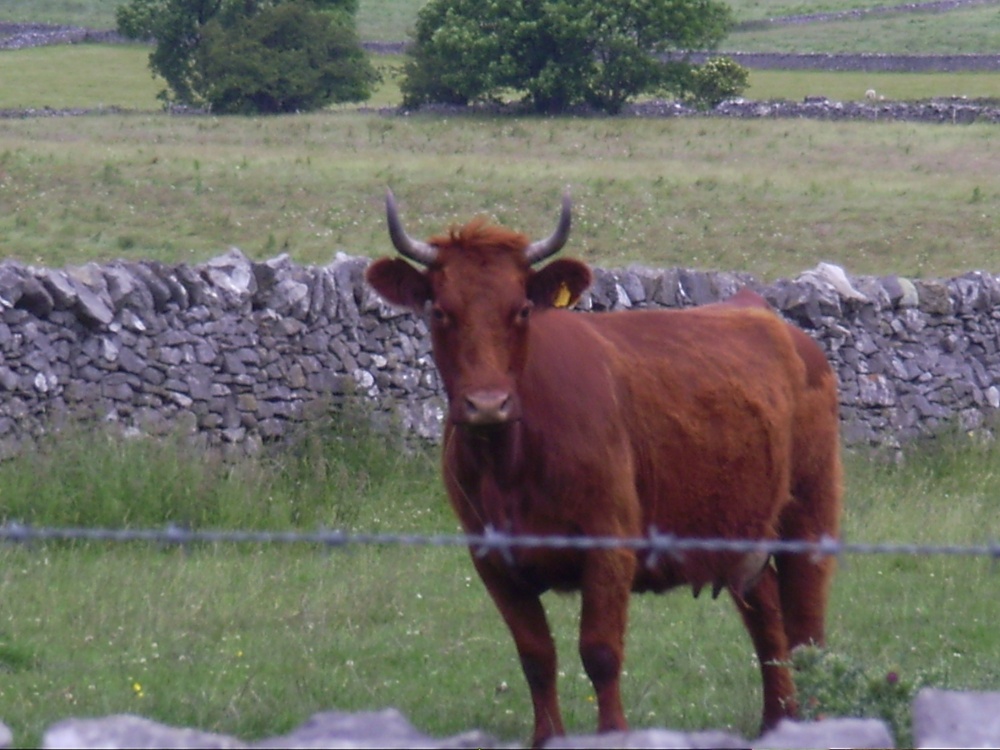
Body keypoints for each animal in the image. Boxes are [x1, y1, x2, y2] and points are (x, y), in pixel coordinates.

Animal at [365, 190, 842, 747]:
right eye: (440, 311)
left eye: (522, 309)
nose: (487, 404)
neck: (511, 465)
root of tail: (773, 319)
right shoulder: (491, 557)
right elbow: (536, 655)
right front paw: (546, 738)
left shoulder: (610, 544)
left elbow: (600, 653)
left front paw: (613, 733)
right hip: (742, 530)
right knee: (768, 623)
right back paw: (775, 723)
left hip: (809, 517)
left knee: (807, 630)